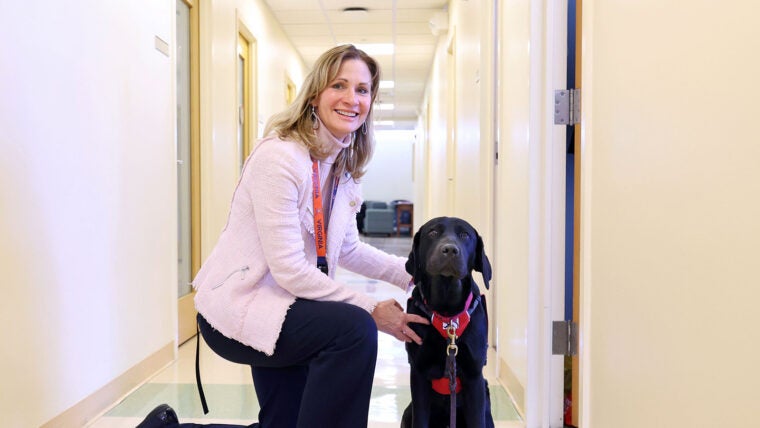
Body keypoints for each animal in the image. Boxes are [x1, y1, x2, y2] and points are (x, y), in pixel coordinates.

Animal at [400, 217, 496, 428]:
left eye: (465, 235)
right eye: (433, 233)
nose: (450, 249)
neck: (447, 312)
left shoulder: (474, 377)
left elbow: (476, 420)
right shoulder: (418, 372)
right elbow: (420, 420)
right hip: (407, 412)